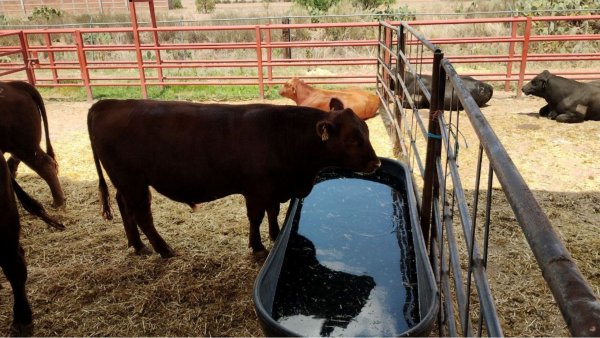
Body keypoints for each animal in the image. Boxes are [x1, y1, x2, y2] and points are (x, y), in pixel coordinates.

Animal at [88, 99, 380, 258]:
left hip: (126, 182)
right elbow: (256, 217)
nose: (376, 162)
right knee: (142, 216)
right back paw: (164, 250)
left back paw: (137, 246)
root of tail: (107, 103)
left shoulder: (273, 188)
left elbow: (273, 212)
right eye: (354, 138)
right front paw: (258, 247)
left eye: (366, 130)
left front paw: (275, 235)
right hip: (133, 181)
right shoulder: (257, 188)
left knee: (124, 207)